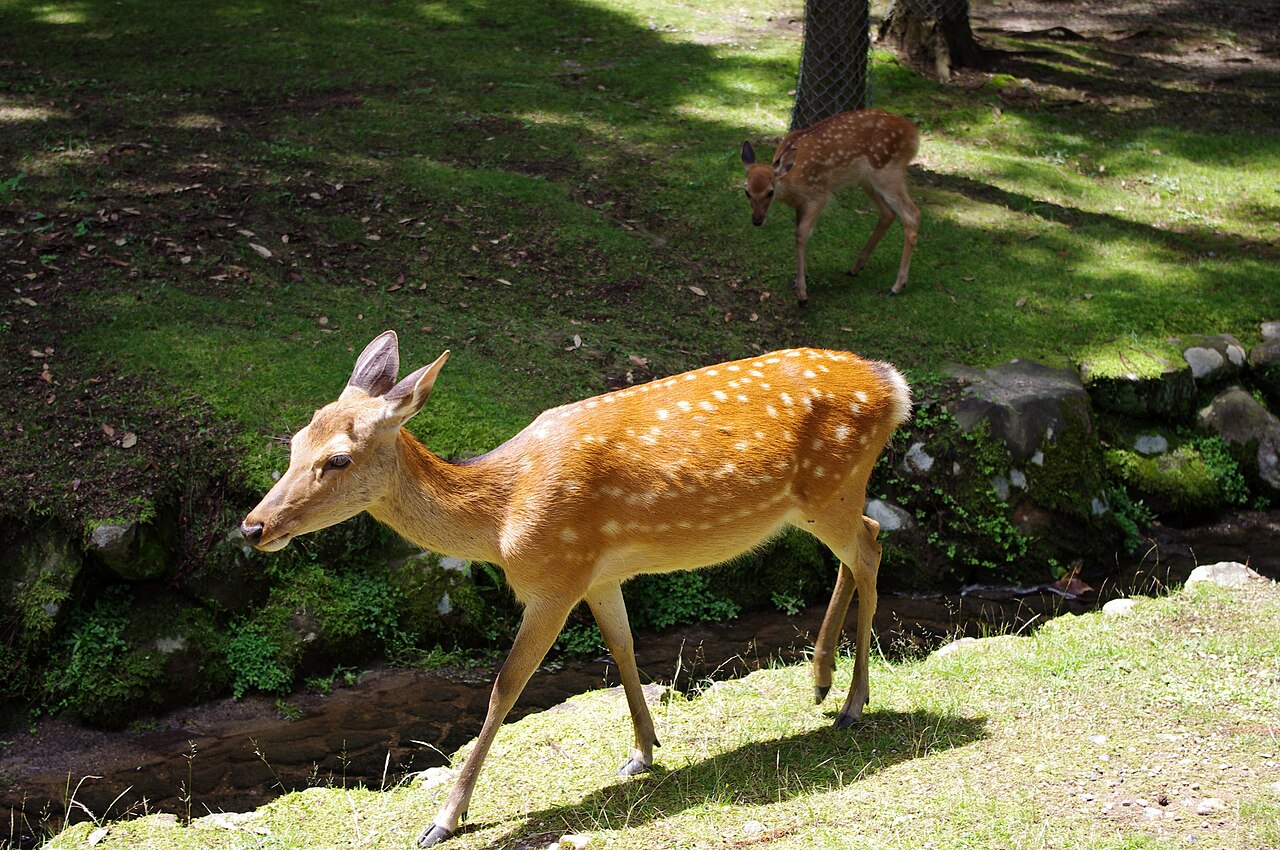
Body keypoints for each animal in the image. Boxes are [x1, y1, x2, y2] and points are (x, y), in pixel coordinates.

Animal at [239, 330, 912, 846]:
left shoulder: (554, 575)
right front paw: (644, 751)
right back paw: (821, 679)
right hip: (819, 500)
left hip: (832, 486)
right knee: (865, 541)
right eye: (295, 442)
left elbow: (506, 686)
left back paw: (853, 703)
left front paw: (443, 820)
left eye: (339, 459)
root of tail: (896, 386)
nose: (253, 527)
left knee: (872, 545)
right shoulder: (599, 572)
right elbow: (624, 648)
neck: (500, 519)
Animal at [742, 108, 921, 302]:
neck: (792, 179)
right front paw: (801, 278)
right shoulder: (801, 202)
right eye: (747, 191)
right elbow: (800, 231)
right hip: (867, 179)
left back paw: (897, 286)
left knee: (912, 214)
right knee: (888, 213)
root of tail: (913, 133)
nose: (757, 220)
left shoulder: (819, 194)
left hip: (888, 171)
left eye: (770, 192)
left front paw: (802, 293)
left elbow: (801, 234)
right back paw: (855, 268)